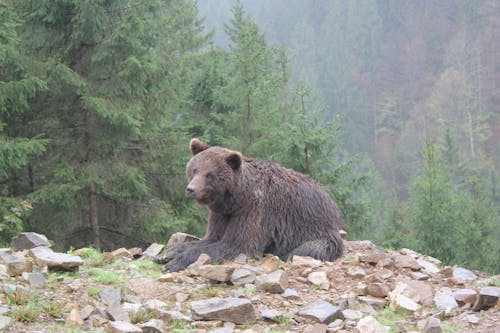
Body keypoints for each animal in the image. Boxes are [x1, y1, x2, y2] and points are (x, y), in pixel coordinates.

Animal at [156, 137, 344, 270]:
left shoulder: (254, 210)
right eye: (194, 169)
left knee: (307, 250)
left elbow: (236, 244)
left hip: (315, 229)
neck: (234, 198)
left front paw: (174, 262)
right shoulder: (222, 213)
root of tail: (331, 201)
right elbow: (210, 238)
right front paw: (167, 253)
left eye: (209, 175)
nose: (191, 189)